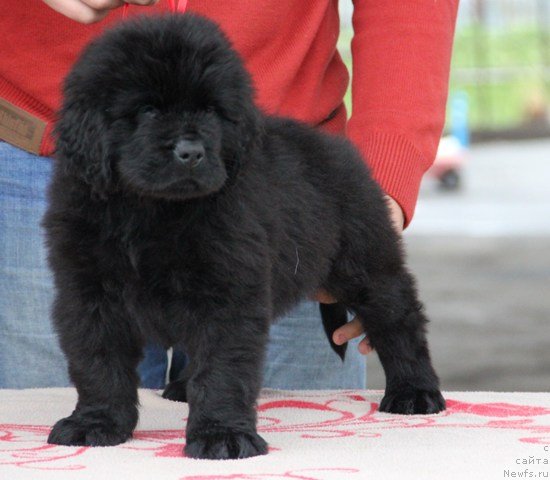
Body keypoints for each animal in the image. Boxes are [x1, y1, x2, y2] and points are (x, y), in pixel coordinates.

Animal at [44, 13, 448, 460]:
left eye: (210, 110)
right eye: (147, 111)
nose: (191, 152)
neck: (152, 209)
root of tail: (343, 150)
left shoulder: (229, 289)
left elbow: (224, 368)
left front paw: (222, 434)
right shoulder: (89, 292)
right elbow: (98, 363)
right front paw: (95, 423)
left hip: (365, 262)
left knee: (400, 319)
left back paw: (415, 392)